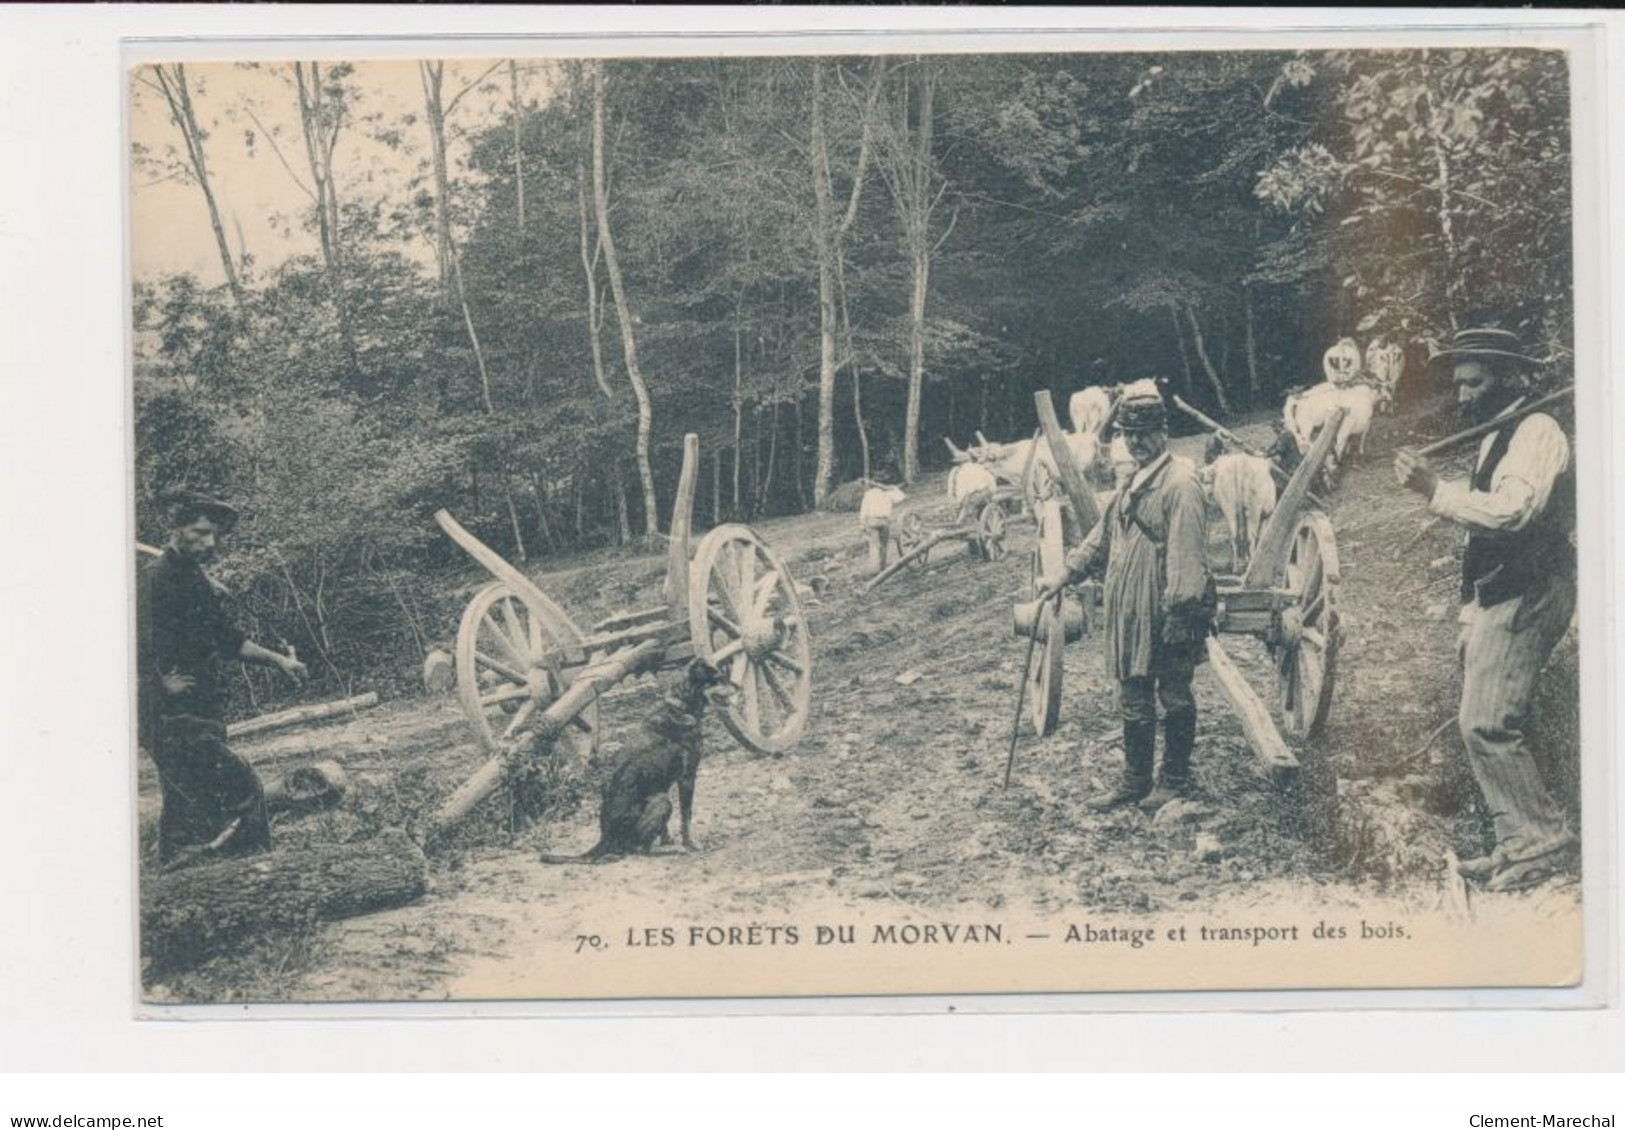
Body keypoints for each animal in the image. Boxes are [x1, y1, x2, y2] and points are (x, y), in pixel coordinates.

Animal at [539, 660, 731, 864]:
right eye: (718, 678)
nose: (736, 687)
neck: (680, 706)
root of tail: (604, 839)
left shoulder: (664, 783)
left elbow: (667, 826)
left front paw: (667, 839)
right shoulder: (687, 777)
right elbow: (686, 816)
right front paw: (689, 843)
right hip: (661, 801)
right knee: (640, 849)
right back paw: (670, 850)